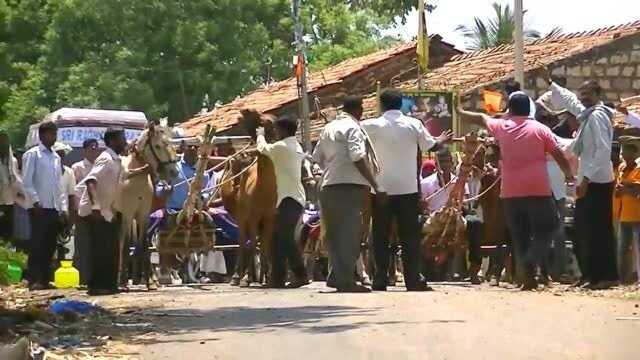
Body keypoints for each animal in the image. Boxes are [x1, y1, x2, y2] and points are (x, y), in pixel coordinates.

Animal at [117, 122, 178, 292]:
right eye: (157, 146)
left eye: (171, 143)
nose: (174, 171)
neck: (135, 178)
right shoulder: (128, 214)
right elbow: (125, 245)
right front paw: (123, 282)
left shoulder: (143, 215)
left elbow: (144, 244)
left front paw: (150, 283)